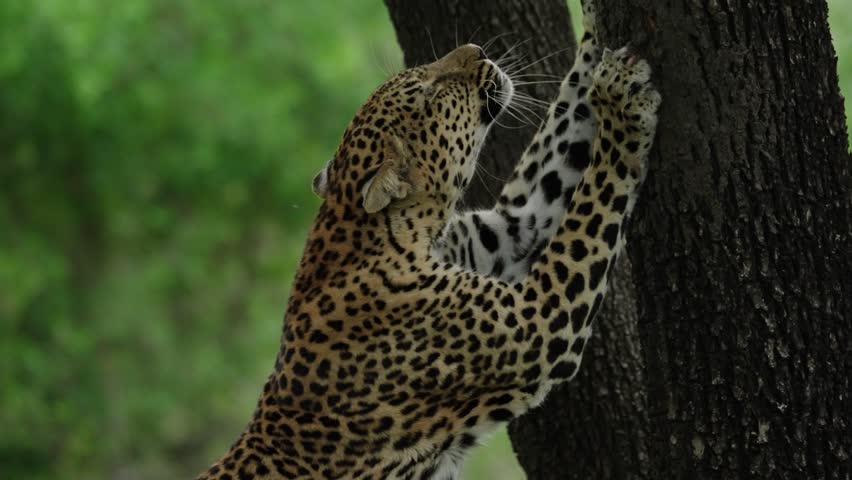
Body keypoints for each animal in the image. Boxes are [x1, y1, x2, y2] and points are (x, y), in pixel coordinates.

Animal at [195, 2, 661, 478]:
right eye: (429, 92)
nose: (477, 49)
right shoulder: (539, 319)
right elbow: (597, 190)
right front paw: (621, 105)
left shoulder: (513, 229)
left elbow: (564, 130)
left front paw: (593, 28)